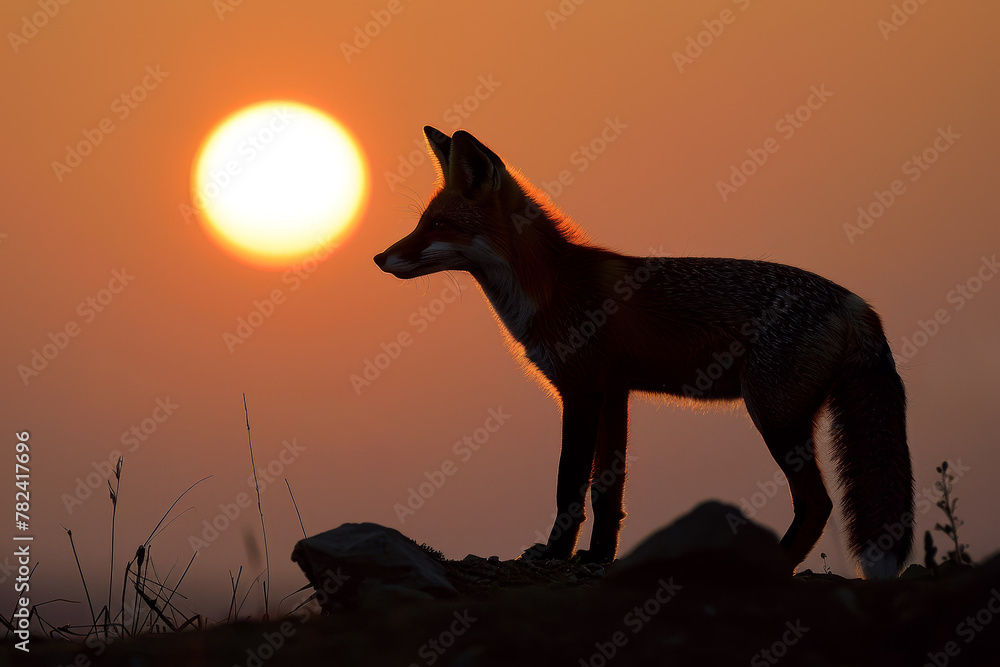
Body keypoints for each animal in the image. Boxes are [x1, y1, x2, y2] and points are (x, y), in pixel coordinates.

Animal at [374, 126, 915, 579]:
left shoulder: (581, 392)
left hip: (774, 417)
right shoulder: (615, 395)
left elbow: (568, 482)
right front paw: (597, 558)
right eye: (422, 222)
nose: (379, 257)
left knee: (817, 504)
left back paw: (772, 565)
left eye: (439, 224)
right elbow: (606, 491)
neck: (549, 288)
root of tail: (854, 300)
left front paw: (555, 553)